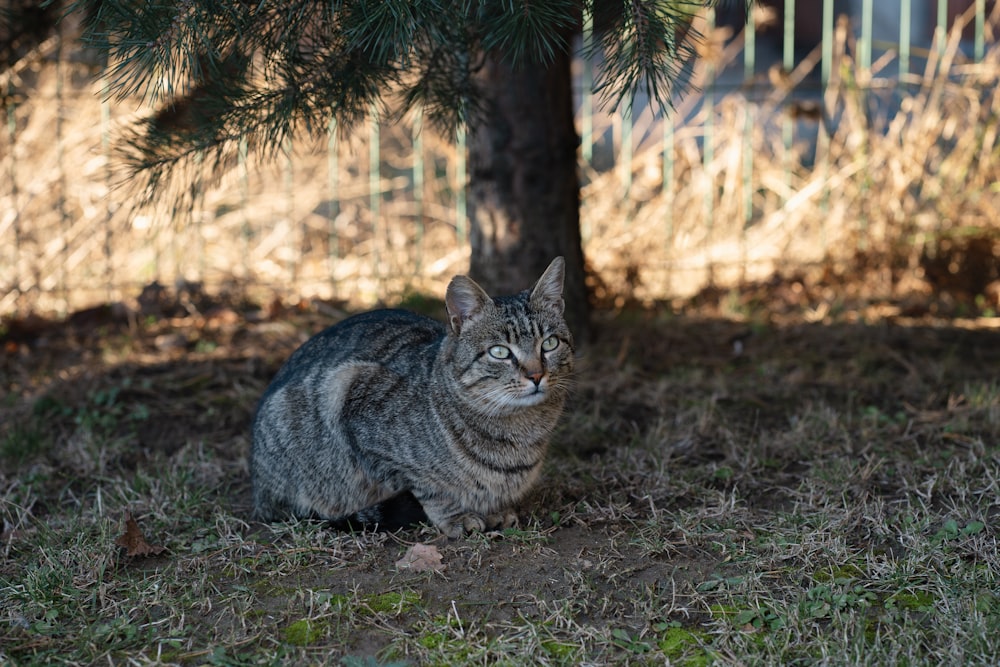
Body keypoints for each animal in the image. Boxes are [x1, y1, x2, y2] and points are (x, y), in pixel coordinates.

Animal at [250, 256, 576, 536]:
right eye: (500, 352)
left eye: (549, 343)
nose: (536, 375)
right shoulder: (352, 394)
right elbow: (427, 487)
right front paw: (455, 516)